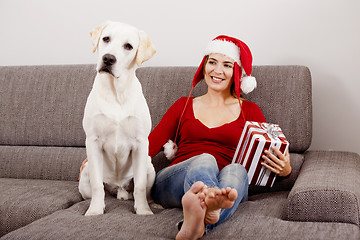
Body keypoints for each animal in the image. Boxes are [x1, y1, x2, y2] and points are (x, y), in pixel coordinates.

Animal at [78, 20, 157, 216]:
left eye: (128, 46)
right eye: (106, 39)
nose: (108, 58)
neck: (116, 93)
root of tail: (118, 187)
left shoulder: (141, 143)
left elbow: (140, 187)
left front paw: (143, 211)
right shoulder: (93, 141)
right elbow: (97, 185)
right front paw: (95, 211)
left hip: (149, 165)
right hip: (85, 177)